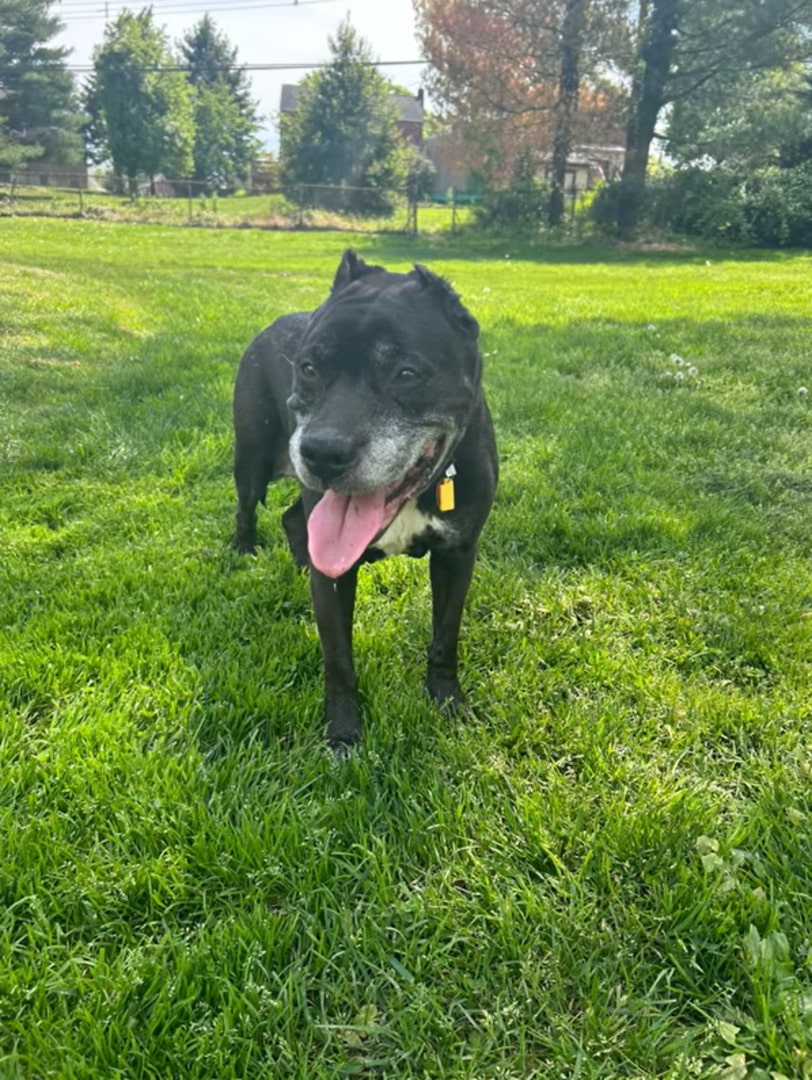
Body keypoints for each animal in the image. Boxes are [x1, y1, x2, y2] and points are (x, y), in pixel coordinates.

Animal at [231, 248, 498, 747]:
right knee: (247, 507)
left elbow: (444, 637)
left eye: (406, 374)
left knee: (292, 519)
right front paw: (343, 733)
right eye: (308, 368)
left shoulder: (457, 553)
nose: (322, 451)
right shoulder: (336, 578)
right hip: (251, 457)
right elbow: (338, 658)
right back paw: (242, 550)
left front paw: (448, 702)